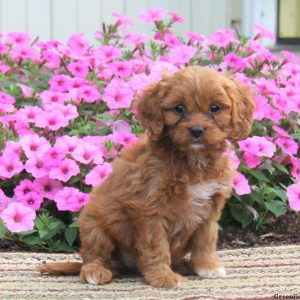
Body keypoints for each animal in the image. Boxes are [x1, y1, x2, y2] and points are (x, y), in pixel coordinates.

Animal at [36, 66, 254, 288]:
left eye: (215, 108)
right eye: (179, 108)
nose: (196, 130)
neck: (193, 159)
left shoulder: (210, 207)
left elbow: (206, 240)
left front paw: (207, 266)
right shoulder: (149, 208)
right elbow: (156, 245)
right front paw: (162, 276)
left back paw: (183, 265)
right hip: (94, 224)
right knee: (95, 254)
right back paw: (95, 271)